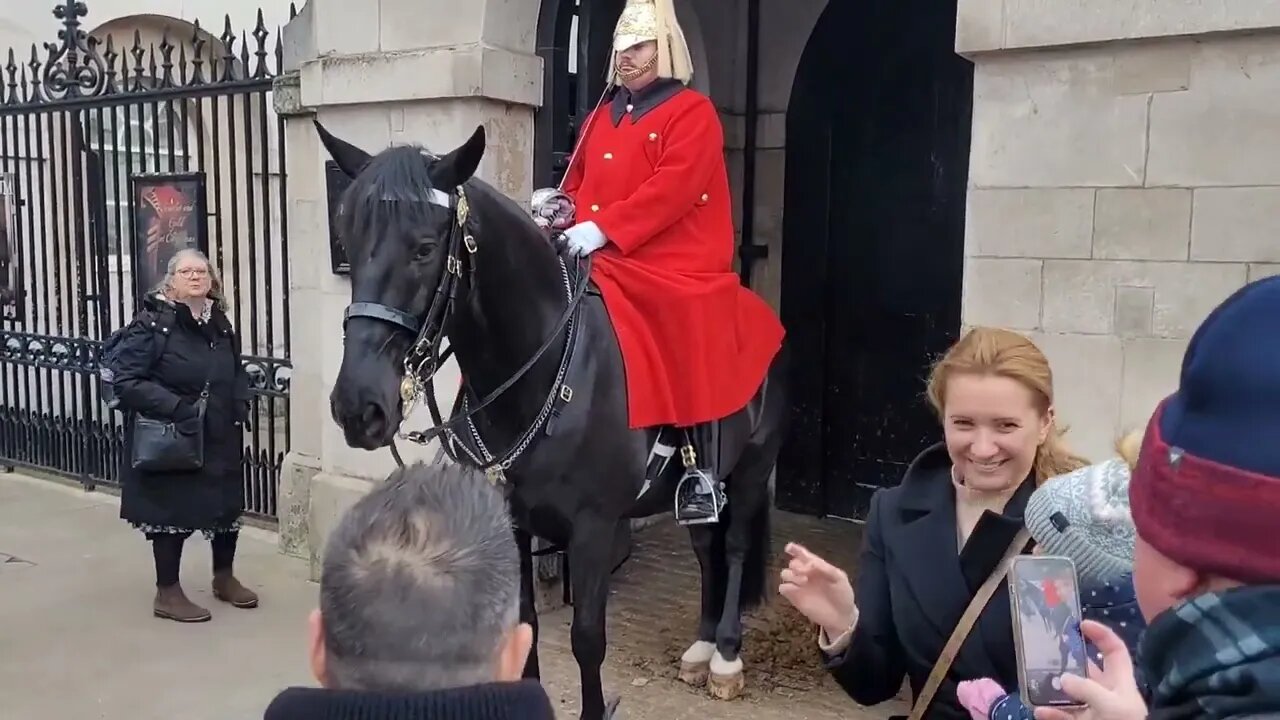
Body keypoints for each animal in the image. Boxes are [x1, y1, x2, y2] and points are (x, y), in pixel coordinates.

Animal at [314, 120, 783, 712]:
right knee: (704, 544)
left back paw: (724, 655)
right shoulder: (514, 520)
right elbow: (527, 621)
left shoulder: (593, 530)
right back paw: (700, 649)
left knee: (738, 546)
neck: (539, 371)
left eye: (424, 248)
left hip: (752, 467)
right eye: (347, 241)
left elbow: (587, 639)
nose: (358, 407)